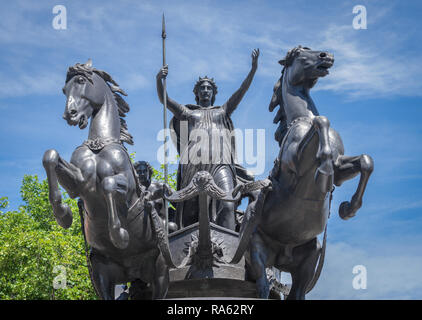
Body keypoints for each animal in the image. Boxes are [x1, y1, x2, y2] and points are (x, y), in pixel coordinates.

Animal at [42, 59, 173, 300]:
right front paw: (63, 214)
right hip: (102, 274)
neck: (99, 144)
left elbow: (108, 184)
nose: (70, 115)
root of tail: (134, 273)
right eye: (64, 90)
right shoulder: (79, 183)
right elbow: (50, 156)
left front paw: (119, 235)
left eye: (81, 81)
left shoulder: (128, 187)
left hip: (160, 271)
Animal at [232, 45, 374, 300]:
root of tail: (281, 253)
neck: (301, 119)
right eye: (299, 53)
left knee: (296, 292)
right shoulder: (296, 162)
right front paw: (323, 171)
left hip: (309, 259)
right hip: (257, 252)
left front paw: (348, 208)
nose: (327, 56)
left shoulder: (341, 168)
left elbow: (366, 161)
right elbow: (322, 121)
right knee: (263, 286)